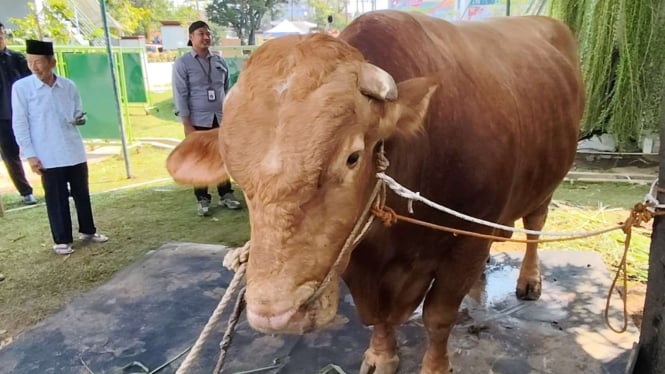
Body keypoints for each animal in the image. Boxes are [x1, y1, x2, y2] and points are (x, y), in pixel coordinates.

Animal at [166, 10, 580, 374]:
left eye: (352, 157)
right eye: (236, 171)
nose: (276, 314)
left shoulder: (464, 244)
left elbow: (439, 317)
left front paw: (435, 366)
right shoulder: (356, 252)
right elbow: (378, 316)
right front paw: (381, 355)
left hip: (547, 183)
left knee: (535, 227)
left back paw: (529, 280)